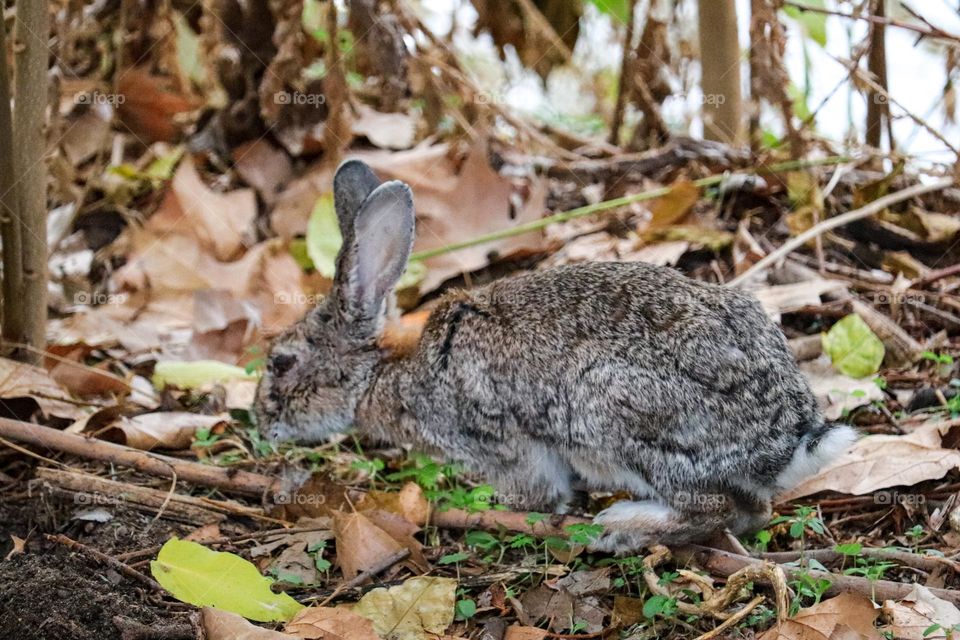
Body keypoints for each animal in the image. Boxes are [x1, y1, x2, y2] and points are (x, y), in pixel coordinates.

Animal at [255, 159, 856, 552]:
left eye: (282, 362)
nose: (261, 422)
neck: (387, 372)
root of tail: (786, 438)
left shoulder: (500, 443)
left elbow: (539, 489)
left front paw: (512, 510)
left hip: (616, 413)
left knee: (729, 511)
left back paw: (621, 527)